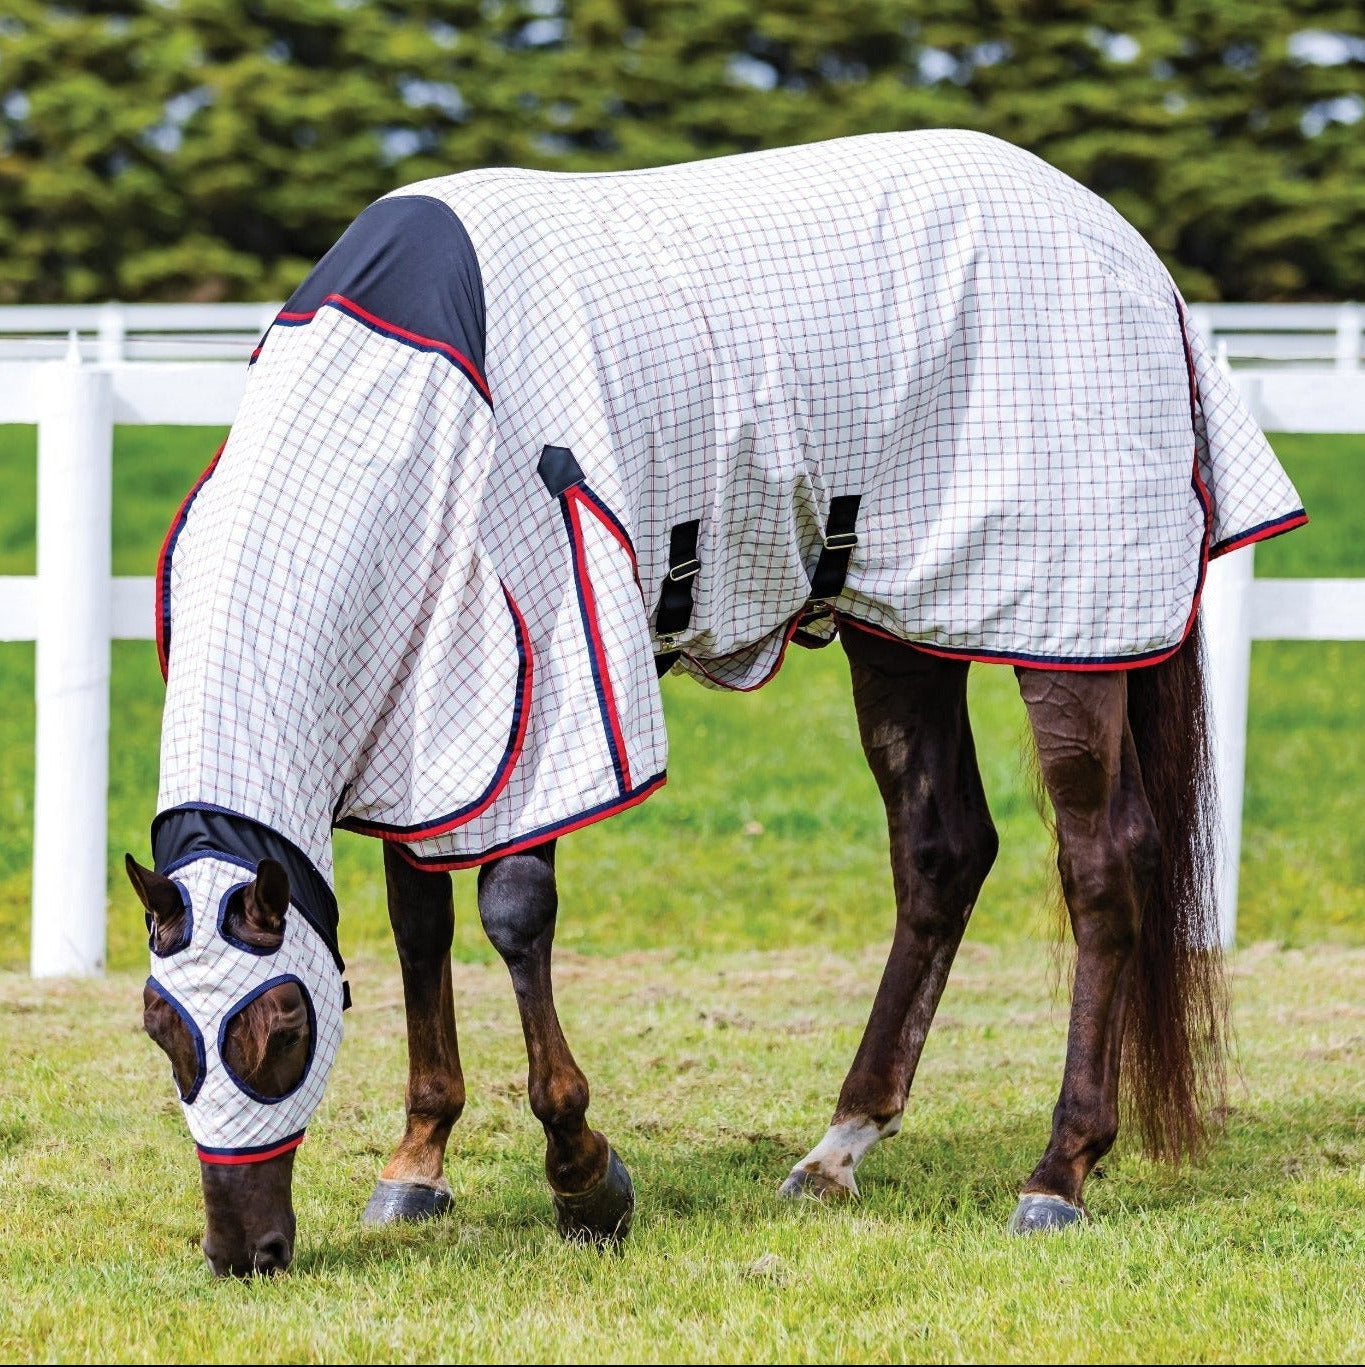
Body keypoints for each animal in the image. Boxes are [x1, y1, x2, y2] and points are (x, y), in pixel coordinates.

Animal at [127, 129, 1305, 1276]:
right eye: (159, 1030)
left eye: (282, 1026)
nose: (244, 1251)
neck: (404, 402)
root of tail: (1138, 262)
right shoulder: (429, 719)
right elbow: (420, 923)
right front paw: (417, 1161)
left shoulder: (557, 683)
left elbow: (514, 913)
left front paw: (584, 1176)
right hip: (901, 632)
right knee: (941, 851)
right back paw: (839, 1146)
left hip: (1064, 630)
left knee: (1105, 865)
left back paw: (1058, 1171)